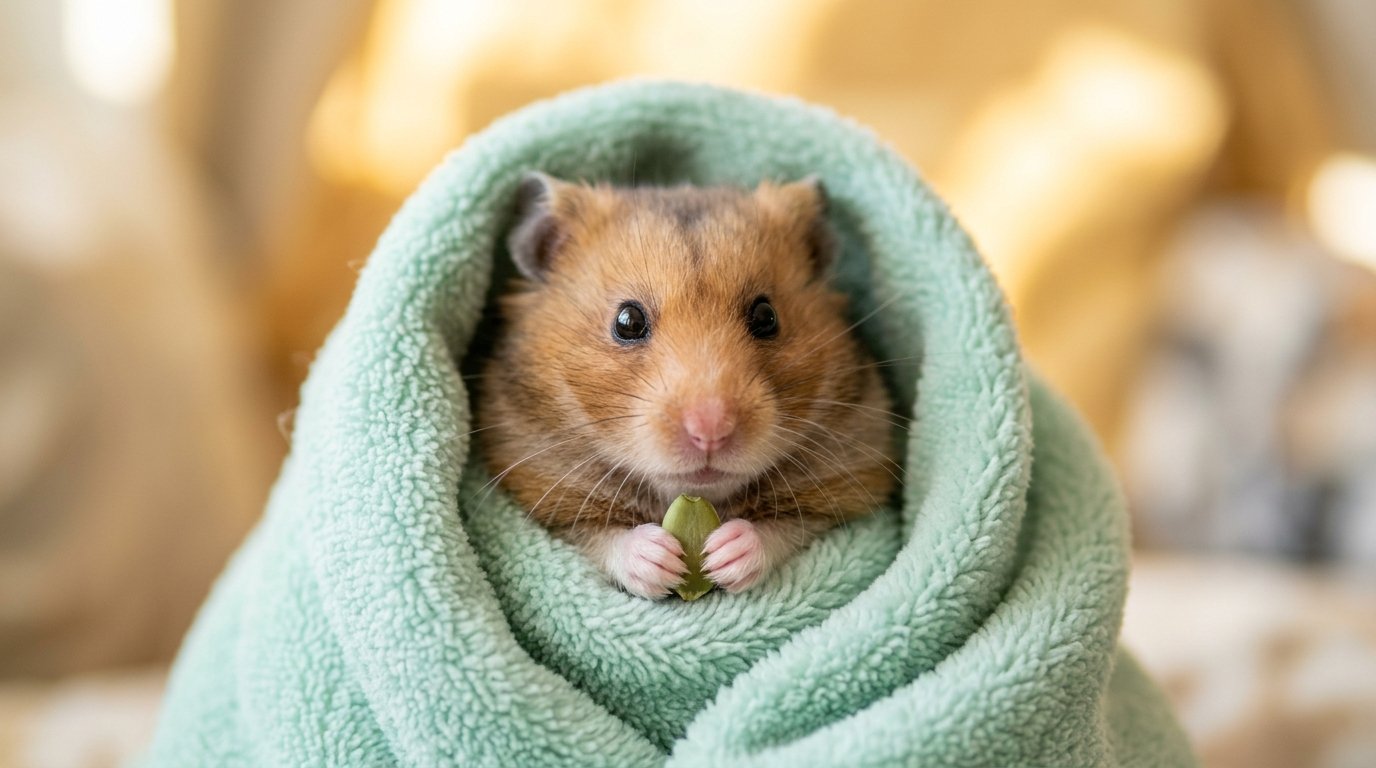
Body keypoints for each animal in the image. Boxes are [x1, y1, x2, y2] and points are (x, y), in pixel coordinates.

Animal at [476, 173, 899, 599]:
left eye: (767, 317)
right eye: (627, 321)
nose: (710, 432)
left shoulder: (840, 493)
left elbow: (783, 528)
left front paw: (725, 553)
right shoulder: (546, 500)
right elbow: (601, 538)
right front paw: (657, 558)